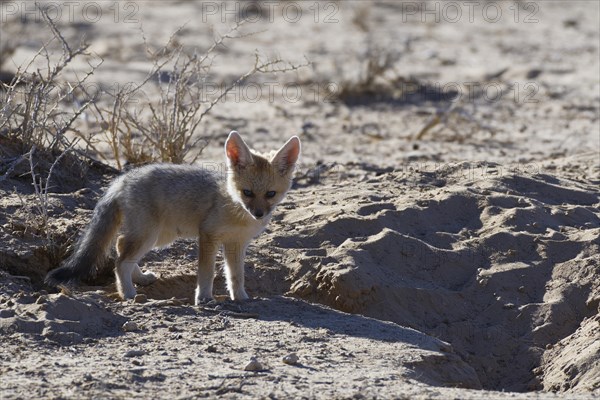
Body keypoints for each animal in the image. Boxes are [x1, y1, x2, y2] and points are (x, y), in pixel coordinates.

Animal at [44, 131, 300, 304]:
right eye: (247, 192)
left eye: (270, 194)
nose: (258, 214)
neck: (235, 209)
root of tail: (122, 179)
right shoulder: (208, 236)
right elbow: (206, 272)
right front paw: (204, 298)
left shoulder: (236, 243)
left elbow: (236, 275)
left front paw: (241, 297)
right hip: (150, 236)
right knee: (120, 260)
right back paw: (128, 293)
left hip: (158, 237)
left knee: (119, 246)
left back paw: (141, 279)